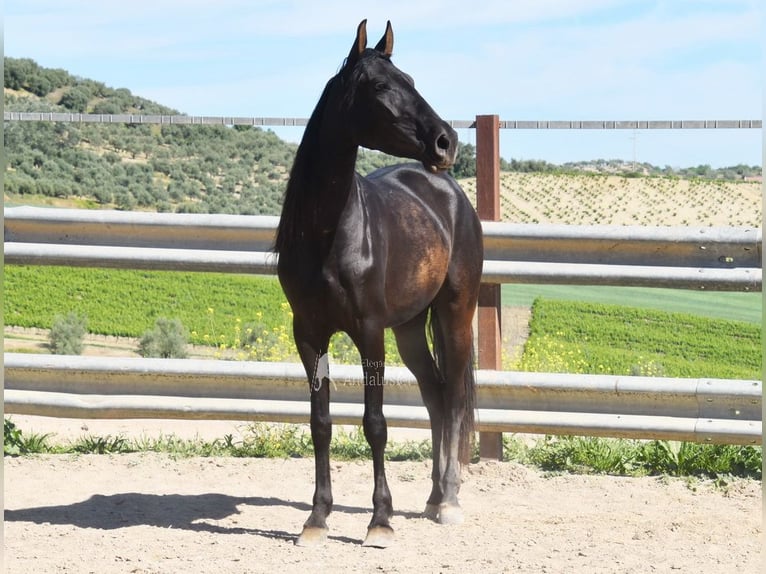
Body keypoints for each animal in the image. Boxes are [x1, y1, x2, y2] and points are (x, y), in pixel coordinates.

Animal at [274, 20, 483, 548]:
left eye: (410, 78)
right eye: (382, 87)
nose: (446, 142)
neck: (328, 234)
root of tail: (450, 194)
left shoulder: (369, 333)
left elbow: (375, 424)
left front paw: (380, 521)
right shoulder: (309, 335)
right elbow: (321, 423)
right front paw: (317, 519)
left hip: (455, 313)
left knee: (454, 396)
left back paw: (450, 502)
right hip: (409, 328)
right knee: (435, 394)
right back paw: (432, 497)